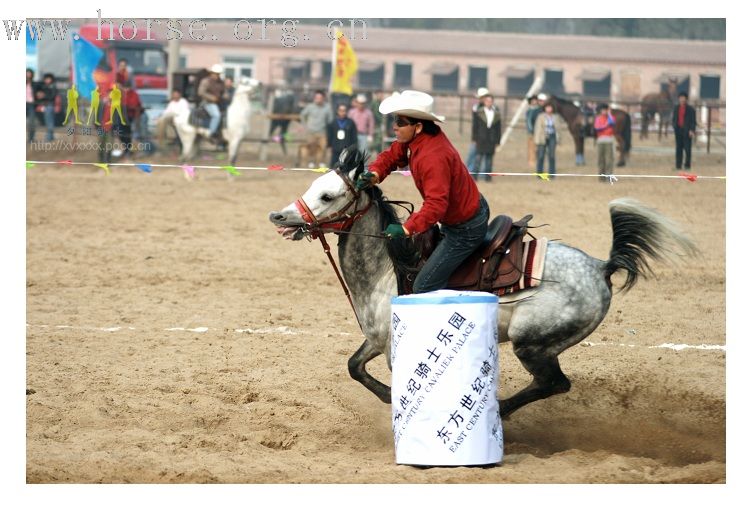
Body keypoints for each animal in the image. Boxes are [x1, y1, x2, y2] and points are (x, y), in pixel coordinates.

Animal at [268, 149, 696, 418]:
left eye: (327, 195)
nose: (279, 216)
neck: (388, 268)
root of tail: (599, 266)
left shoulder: (394, 347)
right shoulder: (376, 339)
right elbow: (354, 367)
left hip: (532, 343)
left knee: (554, 384)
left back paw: (501, 412)